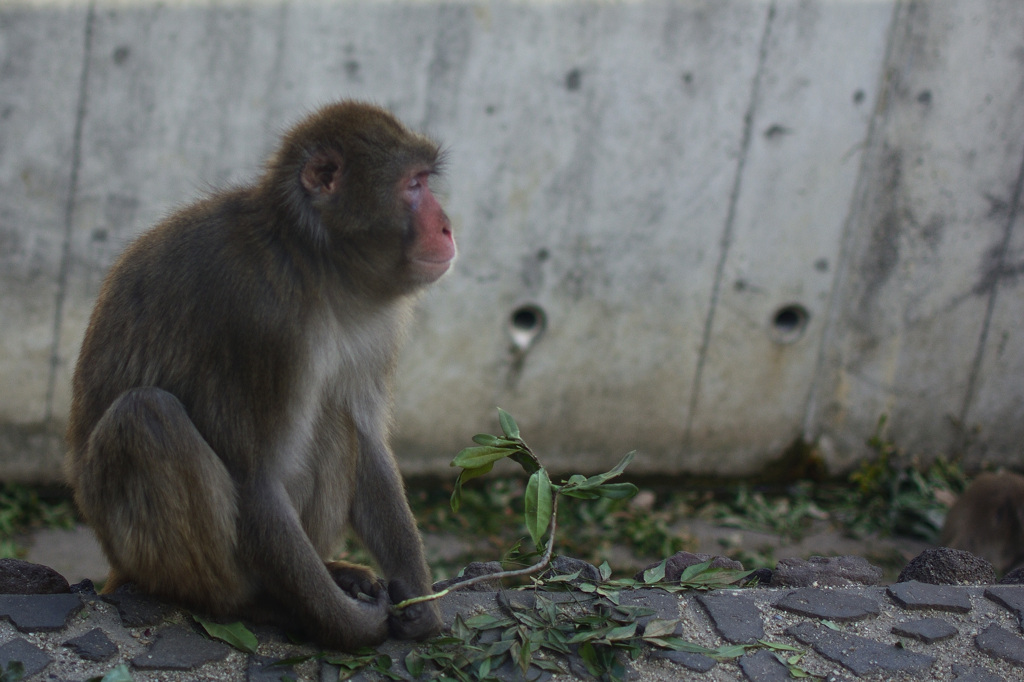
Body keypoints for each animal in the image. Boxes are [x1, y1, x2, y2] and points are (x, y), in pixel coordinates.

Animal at [61, 100, 450, 647]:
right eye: (413, 185)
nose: (447, 227)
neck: (317, 266)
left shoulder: (377, 326)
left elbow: (369, 442)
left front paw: (420, 602)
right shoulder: (260, 320)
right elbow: (256, 481)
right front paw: (350, 625)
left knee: (334, 419)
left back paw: (331, 570)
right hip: (140, 551)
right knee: (146, 416)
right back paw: (257, 603)